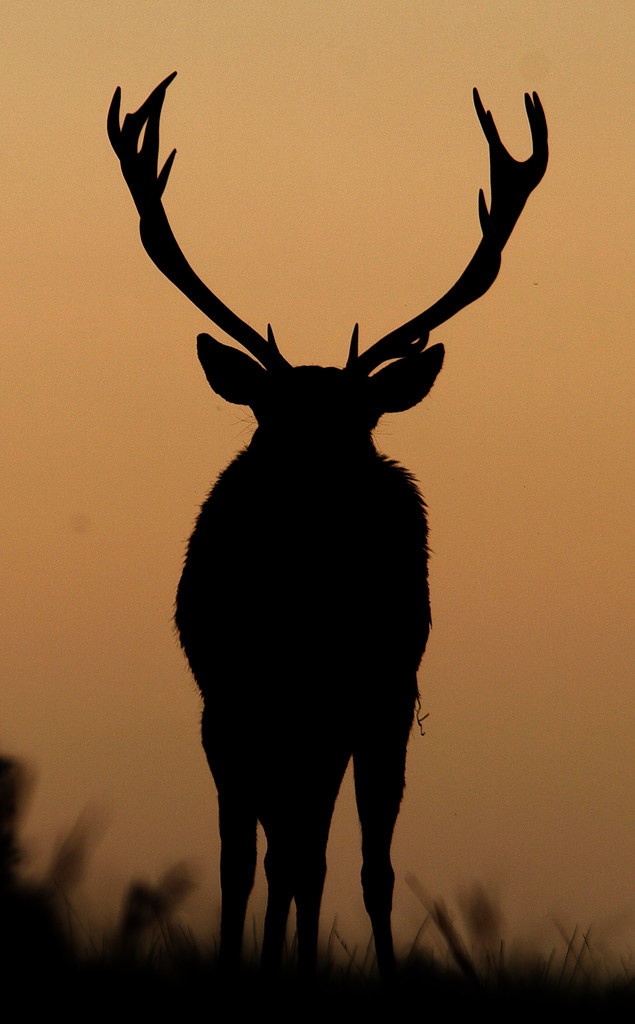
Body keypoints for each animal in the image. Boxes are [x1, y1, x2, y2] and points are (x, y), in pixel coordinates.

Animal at [108, 73, 547, 980]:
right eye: (270, 417)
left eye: (359, 421)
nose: (313, 485)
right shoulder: (227, 701)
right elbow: (242, 861)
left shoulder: (381, 695)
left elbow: (365, 866)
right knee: (284, 849)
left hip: (342, 716)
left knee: (312, 850)